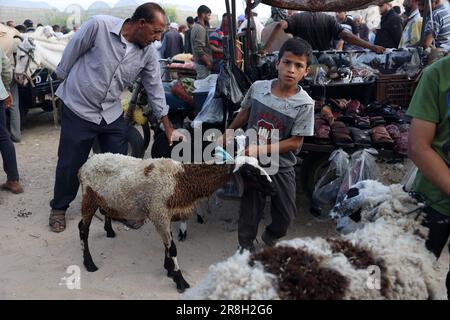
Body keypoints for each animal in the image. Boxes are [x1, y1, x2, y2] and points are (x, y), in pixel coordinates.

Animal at [77, 152, 272, 292]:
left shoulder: (166, 215)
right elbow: (173, 248)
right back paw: (89, 263)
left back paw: (109, 231)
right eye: (251, 172)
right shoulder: (159, 214)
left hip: (105, 199)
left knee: (105, 212)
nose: (272, 188)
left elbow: (167, 244)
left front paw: (169, 269)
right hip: (89, 197)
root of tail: (88, 162)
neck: (181, 180)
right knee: (83, 229)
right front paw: (180, 280)